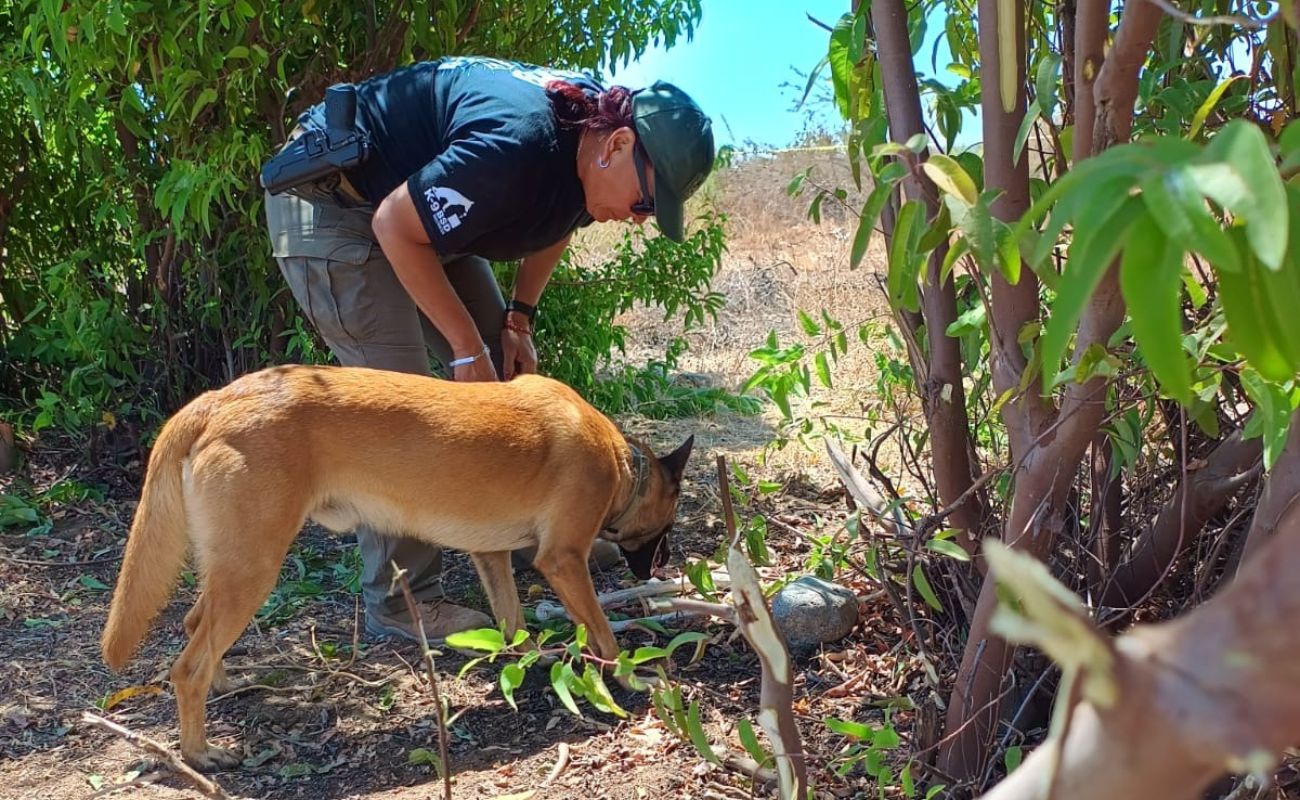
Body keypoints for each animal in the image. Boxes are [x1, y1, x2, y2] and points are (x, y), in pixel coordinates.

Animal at [101, 366, 696, 770]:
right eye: (670, 520)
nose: (662, 567)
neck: (623, 465)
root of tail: (218, 400)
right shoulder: (564, 560)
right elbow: (603, 633)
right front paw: (630, 676)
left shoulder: (492, 556)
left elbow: (514, 624)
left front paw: (533, 662)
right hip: (254, 568)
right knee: (186, 667)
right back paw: (200, 753)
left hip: (236, 564)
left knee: (193, 627)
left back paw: (226, 685)